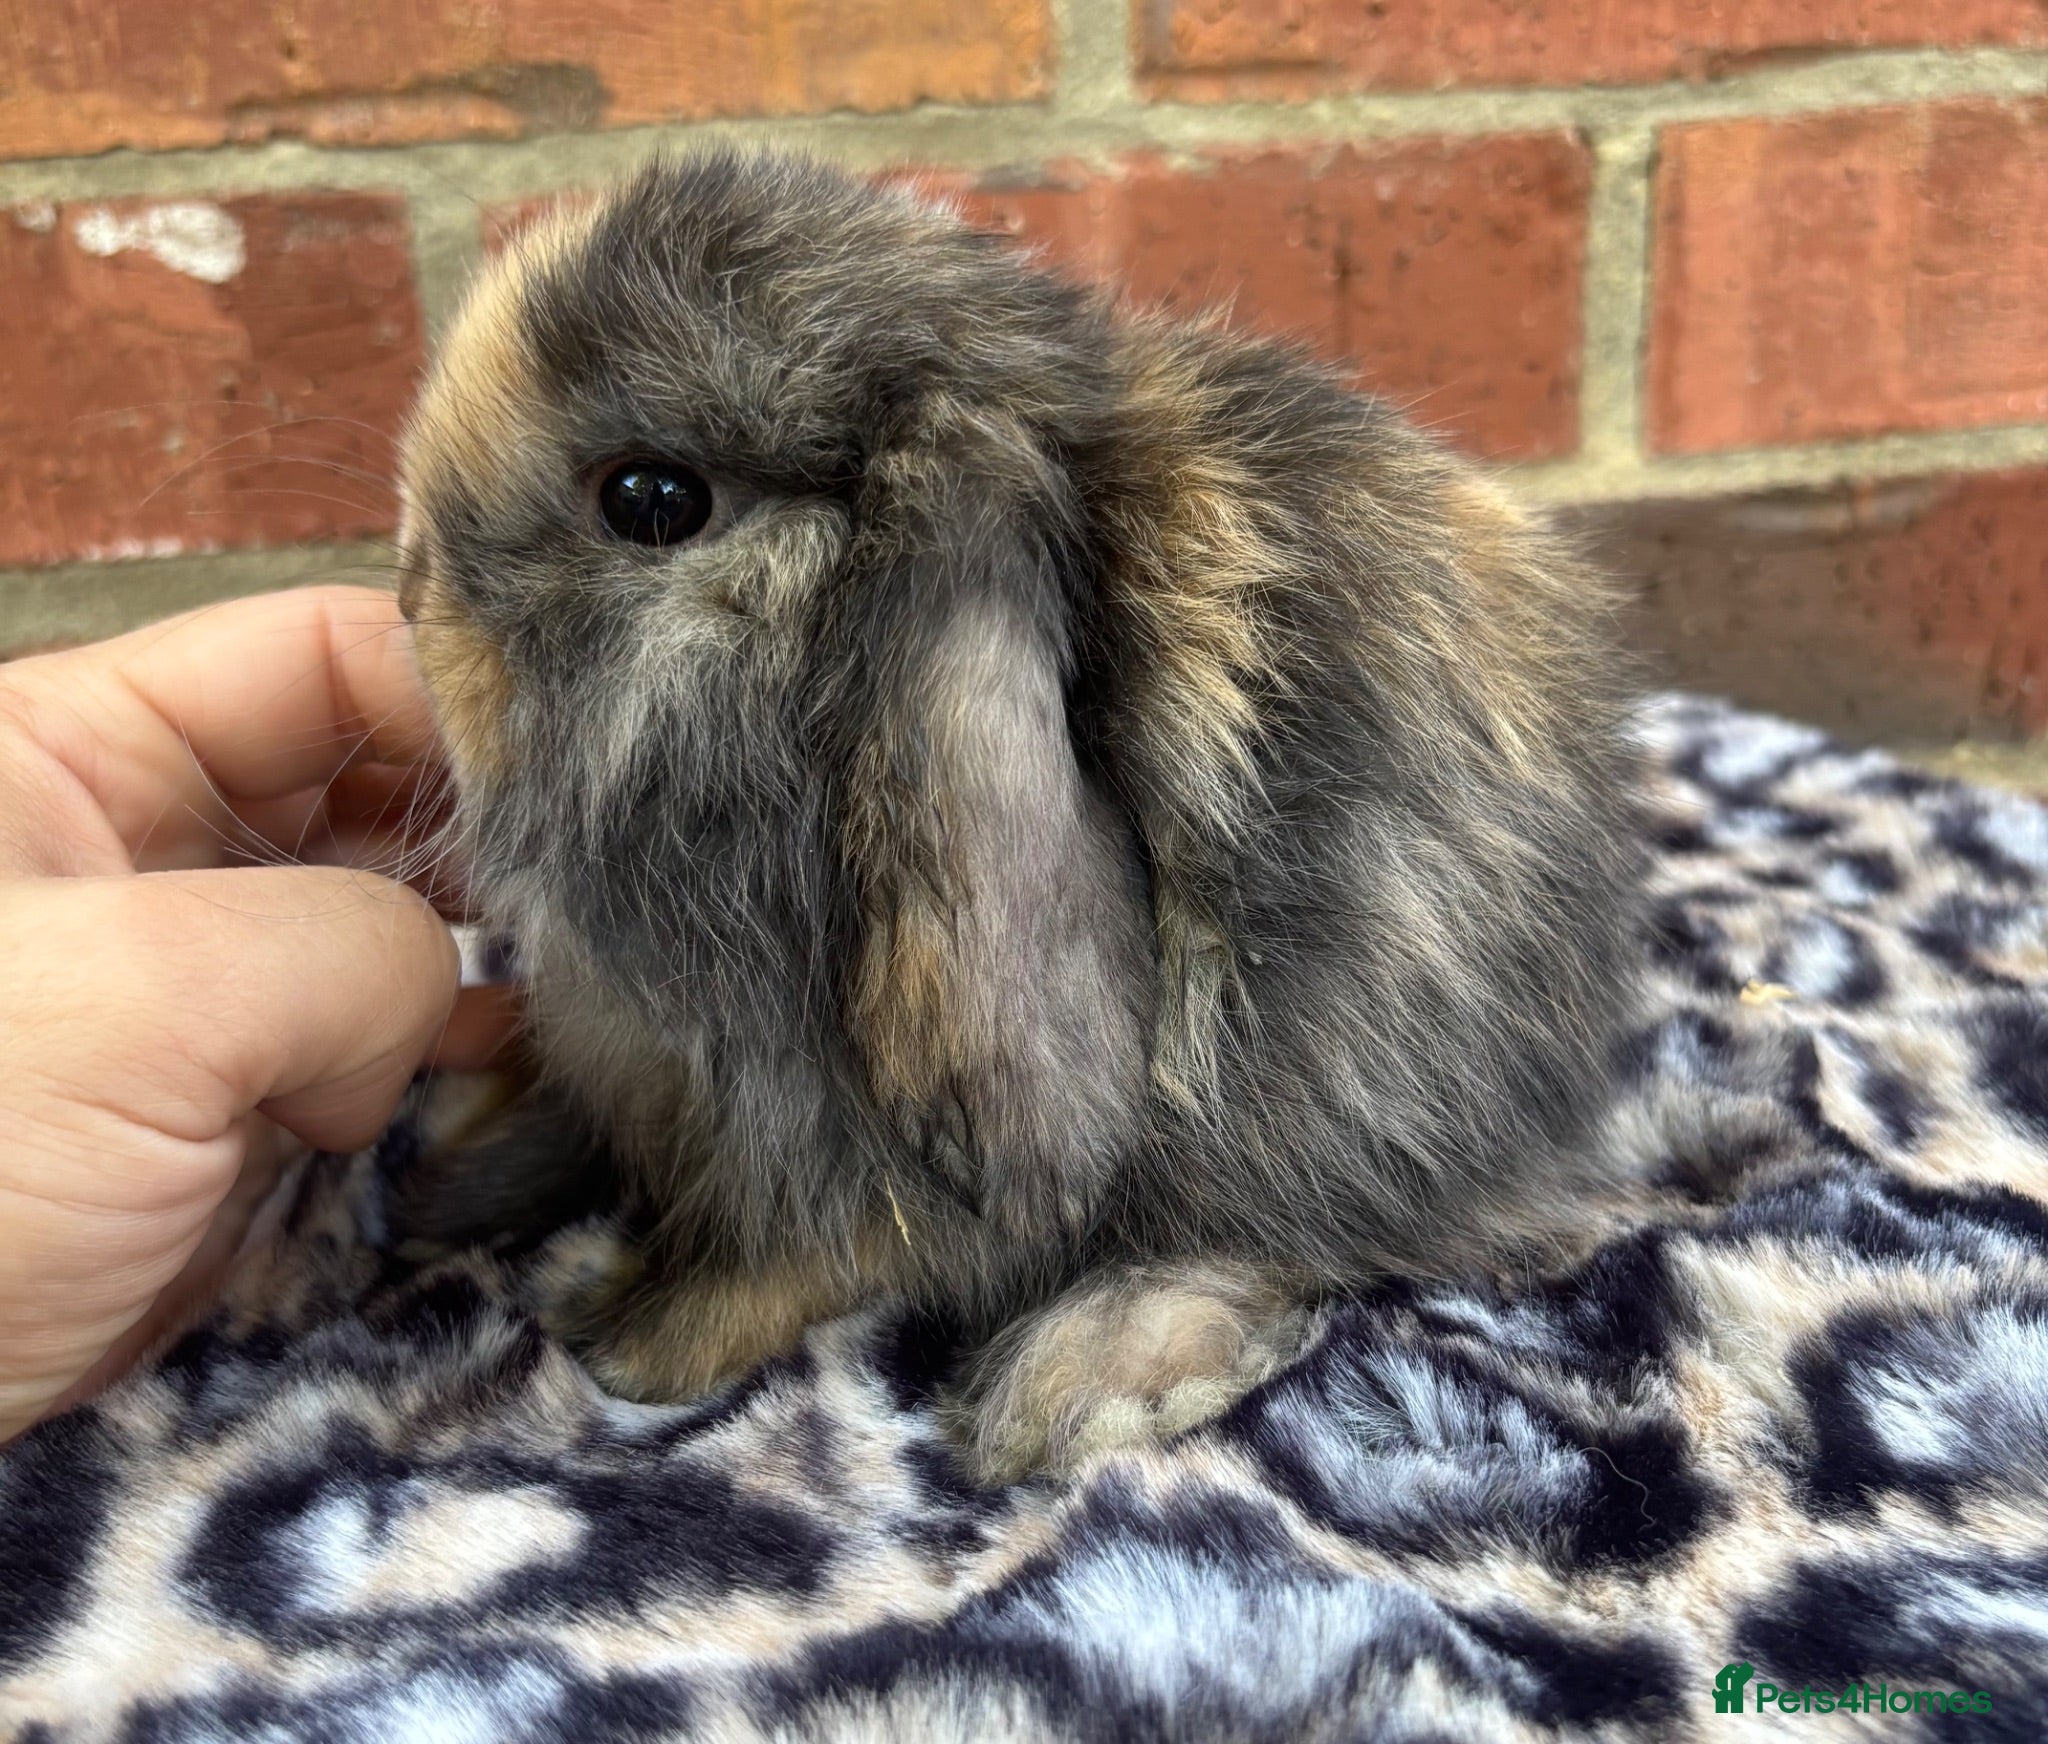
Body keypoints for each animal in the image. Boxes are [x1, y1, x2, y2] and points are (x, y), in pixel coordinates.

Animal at [394, 150, 1643, 1482]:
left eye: (651, 498)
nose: (409, 584)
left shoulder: (823, 1146)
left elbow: (791, 1263)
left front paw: (632, 1336)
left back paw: (1093, 1372)